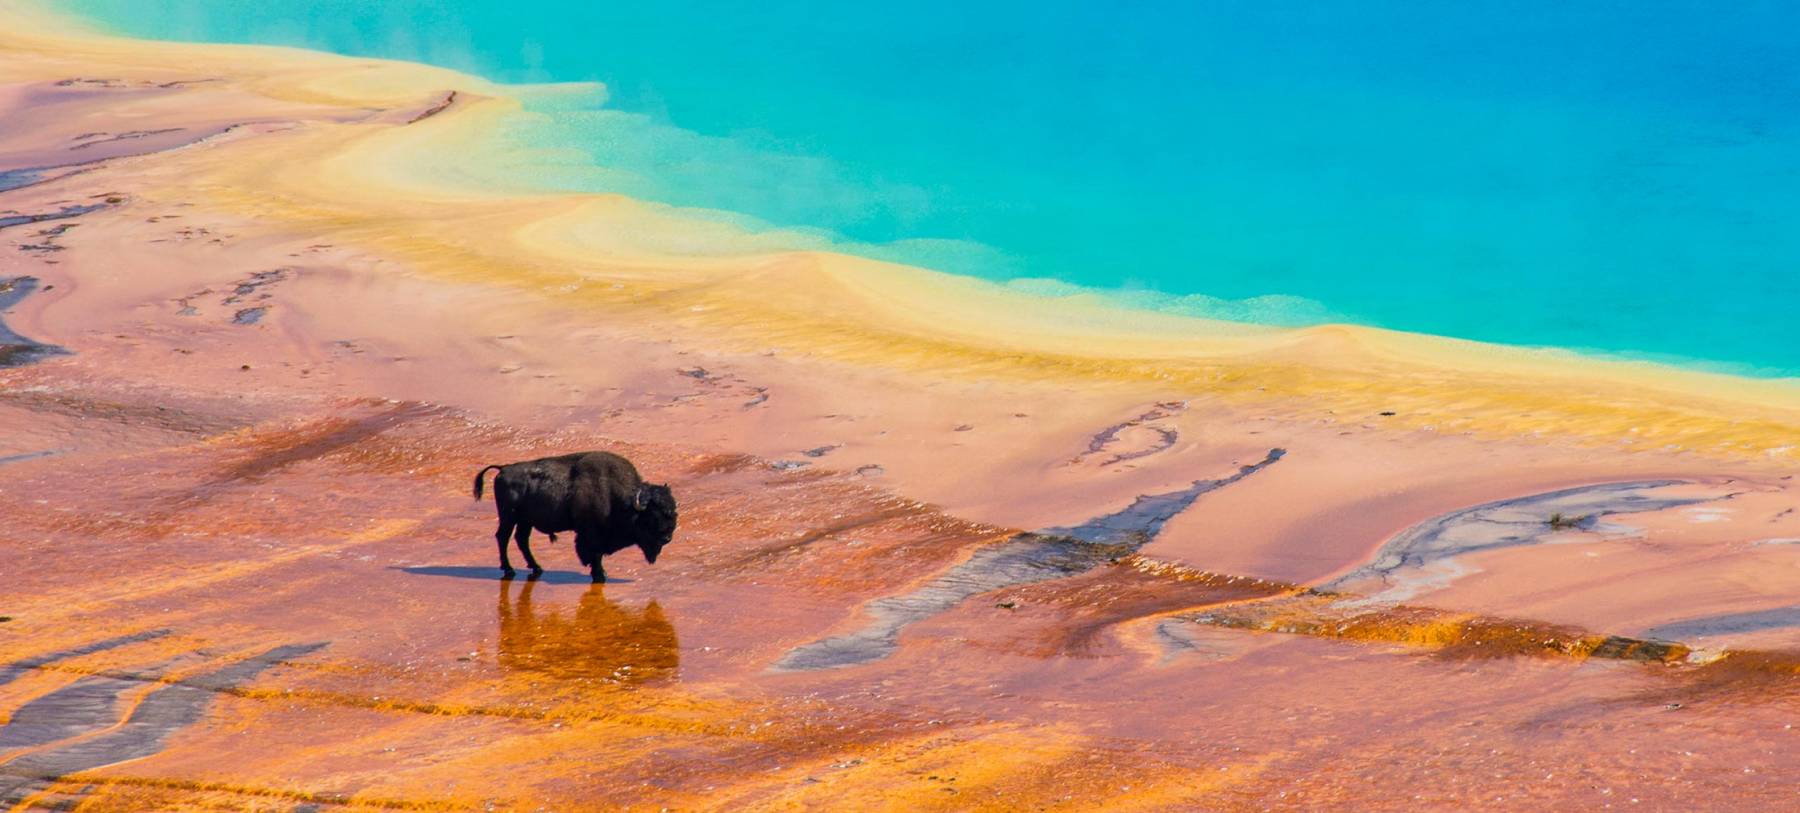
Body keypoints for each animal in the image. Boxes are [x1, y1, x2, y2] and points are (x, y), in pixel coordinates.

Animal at [475, 453, 676, 582]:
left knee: (521, 539)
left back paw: (536, 567)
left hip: (525, 521)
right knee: (503, 537)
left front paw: (601, 573)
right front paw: (599, 575)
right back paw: (509, 570)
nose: (667, 537)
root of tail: (503, 469)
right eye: (652, 516)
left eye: (673, 512)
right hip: (508, 517)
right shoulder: (590, 535)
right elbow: (594, 554)